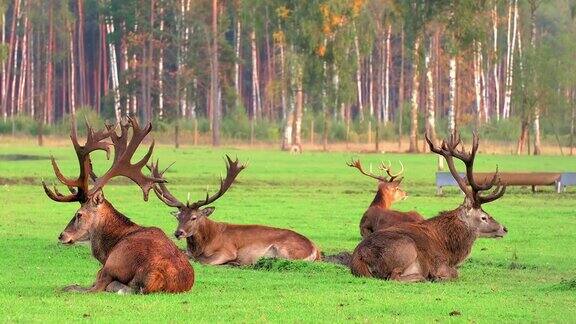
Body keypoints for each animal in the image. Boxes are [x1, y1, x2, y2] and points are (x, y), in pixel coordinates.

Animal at [42, 118, 195, 294]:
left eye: (79, 214)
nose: (62, 235)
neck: (107, 248)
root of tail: (156, 276)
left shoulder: (104, 268)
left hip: (112, 264)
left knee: (92, 288)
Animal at [146, 156, 322, 266]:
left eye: (194, 217)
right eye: (178, 217)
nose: (178, 233)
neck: (205, 242)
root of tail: (316, 249)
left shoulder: (227, 250)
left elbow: (201, 261)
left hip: (285, 250)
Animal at [348, 133, 506, 282]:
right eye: (483, 217)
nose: (504, 228)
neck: (451, 250)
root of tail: (360, 257)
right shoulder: (439, 263)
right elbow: (456, 273)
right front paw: (438, 277)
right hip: (406, 247)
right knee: (394, 276)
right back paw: (424, 277)